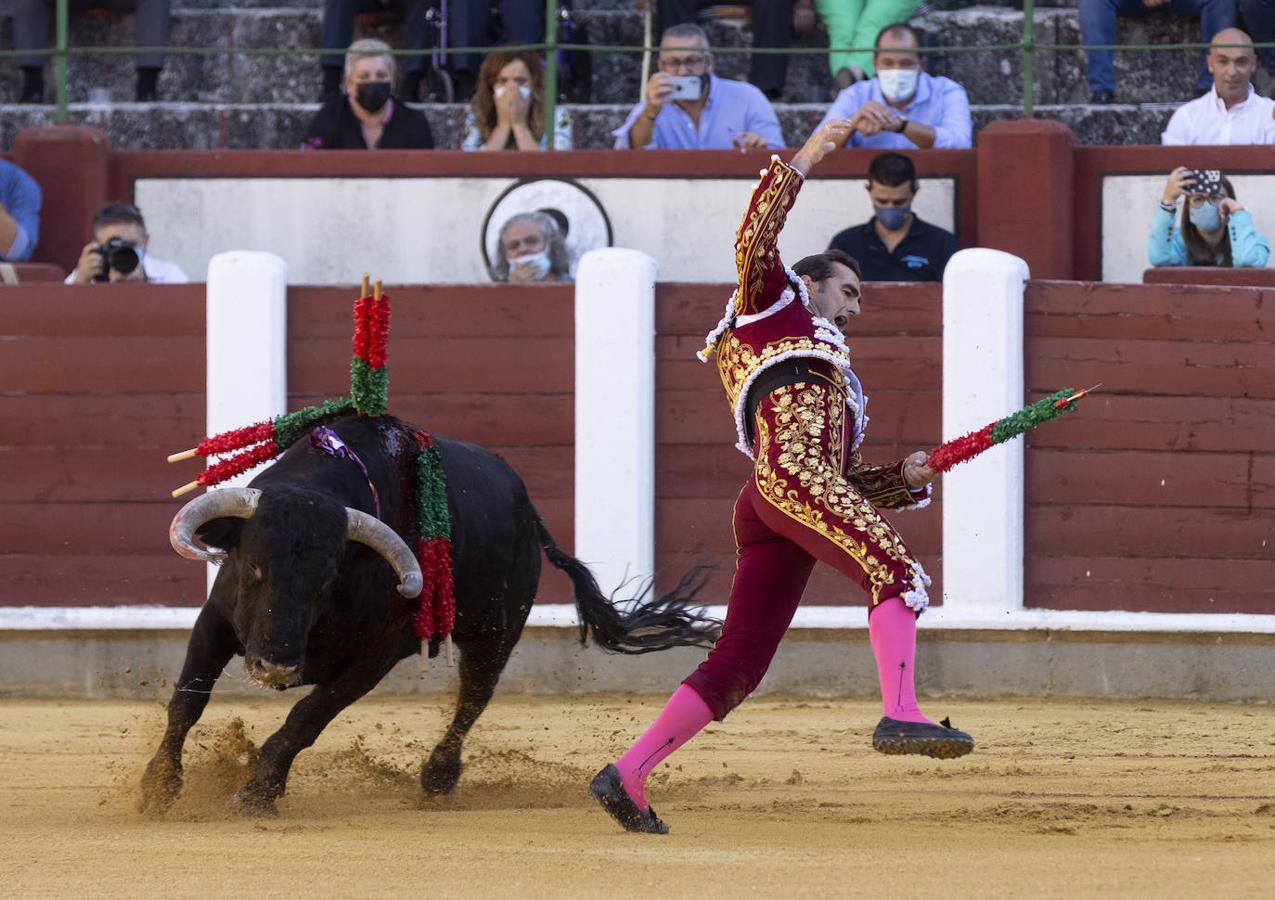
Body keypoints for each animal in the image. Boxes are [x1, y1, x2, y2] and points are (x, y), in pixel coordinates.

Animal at [142, 413, 719, 815]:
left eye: (328, 577)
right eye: (254, 564)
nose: (277, 666)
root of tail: (526, 507)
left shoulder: (372, 662)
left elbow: (304, 719)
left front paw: (256, 793)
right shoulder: (216, 622)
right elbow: (187, 702)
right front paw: (156, 788)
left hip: (496, 634)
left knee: (473, 698)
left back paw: (438, 778)